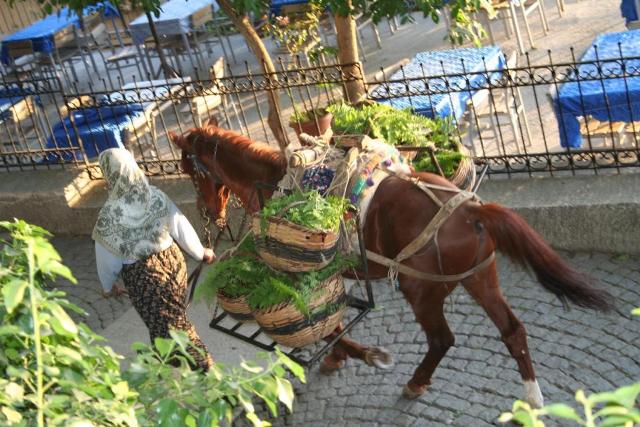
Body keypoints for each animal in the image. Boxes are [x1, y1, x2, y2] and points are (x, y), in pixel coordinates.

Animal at [168, 117, 614, 408]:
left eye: (190, 171)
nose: (208, 213)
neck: (276, 180)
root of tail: (472, 211)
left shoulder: (304, 274)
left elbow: (329, 325)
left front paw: (359, 354)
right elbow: (329, 319)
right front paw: (340, 355)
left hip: (421, 290)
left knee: (443, 340)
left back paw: (416, 383)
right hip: (480, 278)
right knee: (513, 331)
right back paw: (532, 396)